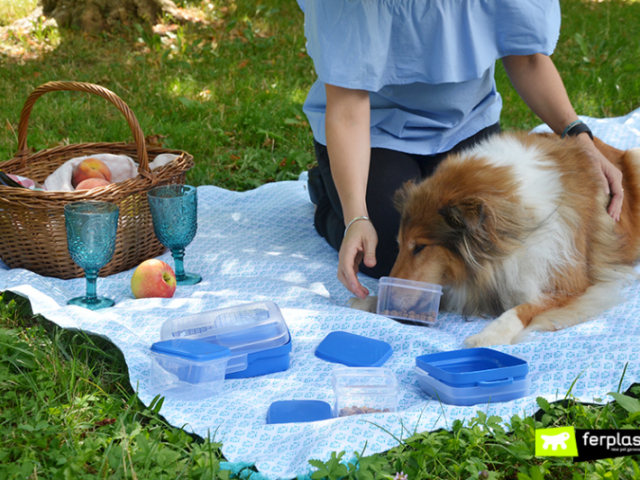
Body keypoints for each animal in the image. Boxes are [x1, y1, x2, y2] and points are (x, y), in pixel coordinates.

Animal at [350, 133, 640, 346]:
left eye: (420, 247)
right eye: (400, 245)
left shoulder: (570, 284)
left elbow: (523, 308)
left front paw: (487, 336)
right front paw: (369, 301)